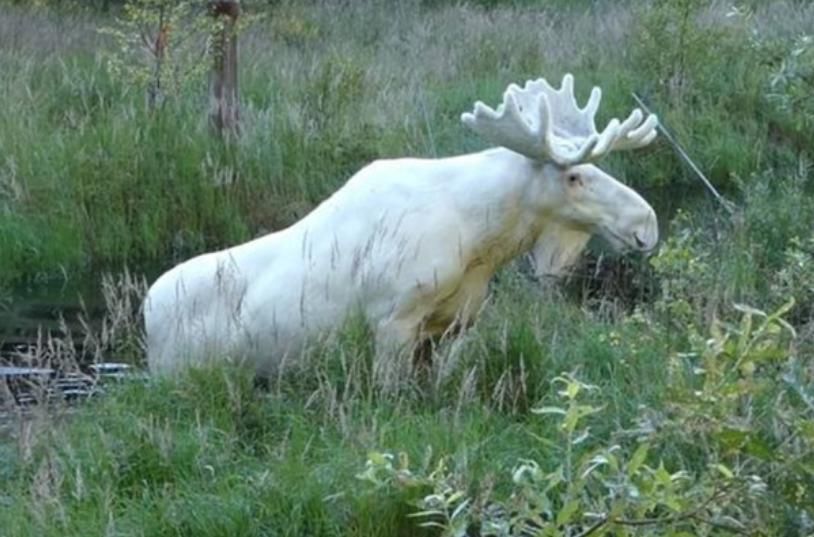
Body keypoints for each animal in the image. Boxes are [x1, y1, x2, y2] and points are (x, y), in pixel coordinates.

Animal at [143, 74, 660, 376]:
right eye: (574, 176)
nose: (646, 223)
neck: (483, 240)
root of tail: (145, 313)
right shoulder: (391, 320)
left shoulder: (452, 325)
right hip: (181, 377)